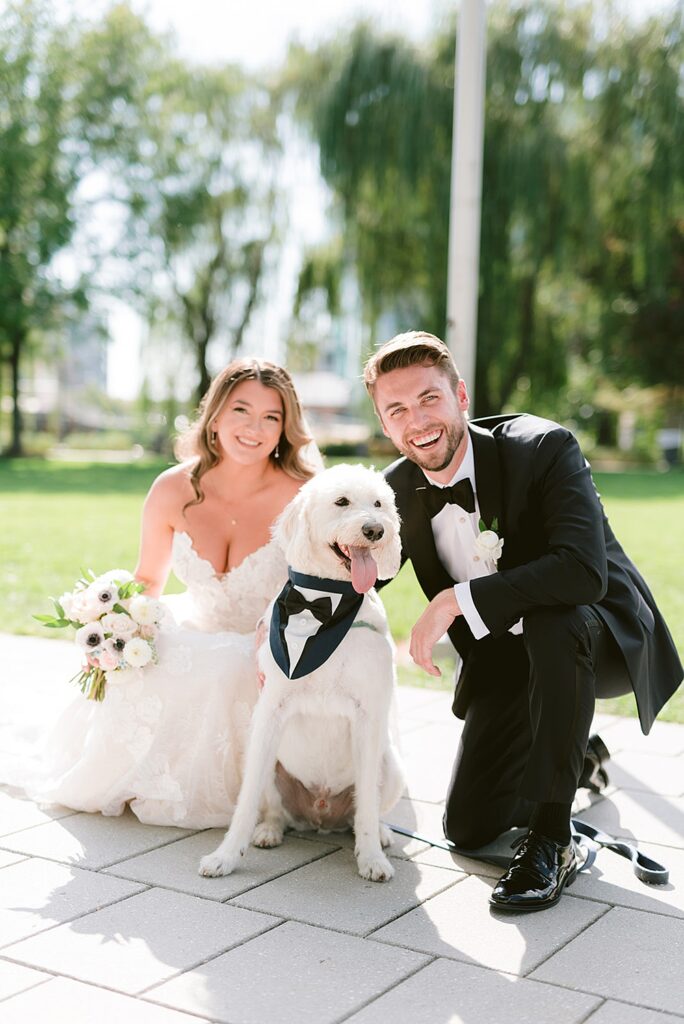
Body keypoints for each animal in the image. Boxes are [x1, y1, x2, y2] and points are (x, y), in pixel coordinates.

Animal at [200, 464, 409, 880]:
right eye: (342, 501)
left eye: (379, 503)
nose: (376, 530)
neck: (327, 602)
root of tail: (321, 814)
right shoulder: (270, 711)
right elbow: (245, 803)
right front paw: (226, 856)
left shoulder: (369, 715)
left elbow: (367, 803)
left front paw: (371, 857)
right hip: (264, 759)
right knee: (274, 810)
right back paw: (269, 830)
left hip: (390, 768)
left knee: (366, 809)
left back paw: (379, 833)